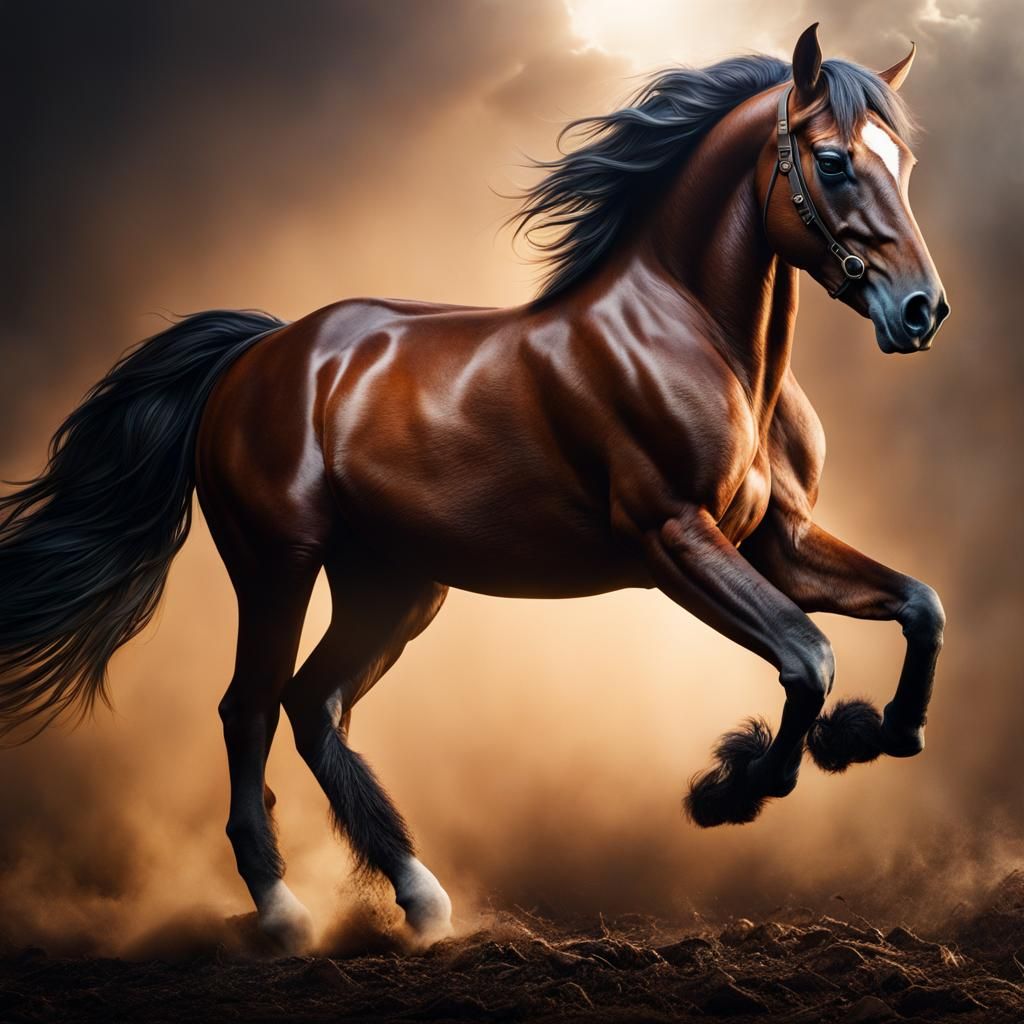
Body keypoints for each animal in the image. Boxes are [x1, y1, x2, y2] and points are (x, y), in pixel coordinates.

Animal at [0, 24, 949, 952]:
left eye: (902, 161)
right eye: (833, 160)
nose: (921, 311)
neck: (703, 342)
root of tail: (258, 352)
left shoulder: (776, 540)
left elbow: (918, 606)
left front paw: (881, 732)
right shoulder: (675, 537)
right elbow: (807, 655)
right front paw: (733, 787)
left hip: (394, 585)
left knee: (314, 704)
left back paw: (420, 900)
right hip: (276, 566)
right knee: (251, 709)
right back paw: (281, 911)